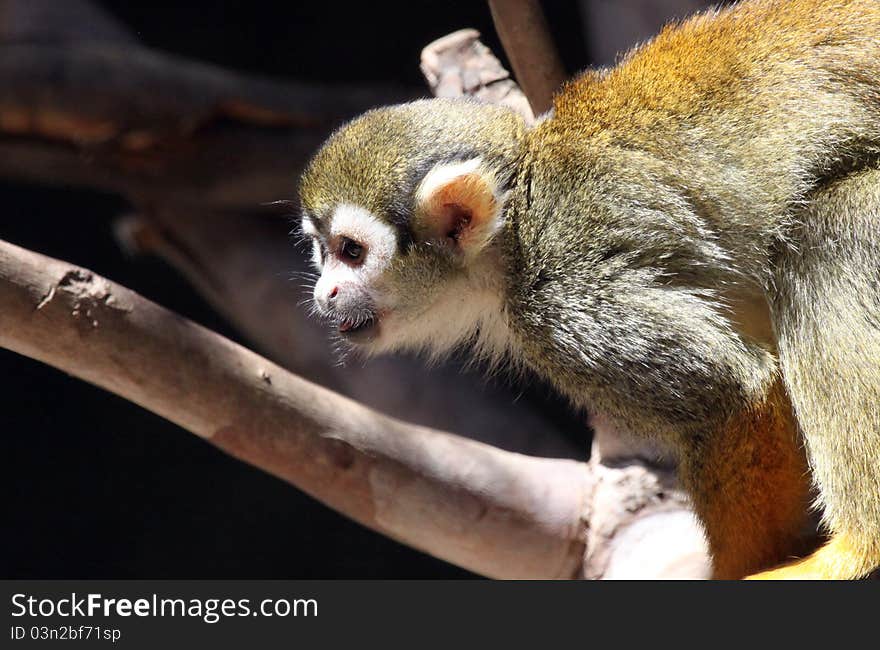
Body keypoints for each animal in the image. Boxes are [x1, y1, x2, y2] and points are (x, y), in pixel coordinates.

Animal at [300, 0, 880, 576]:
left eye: (352, 251)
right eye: (322, 251)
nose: (324, 294)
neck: (517, 229)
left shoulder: (566, 304)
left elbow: (732, 394)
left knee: (828, 229)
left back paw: (855, 549)